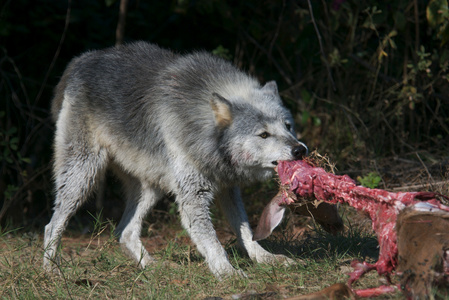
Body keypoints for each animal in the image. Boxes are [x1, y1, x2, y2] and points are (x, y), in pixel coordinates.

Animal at [43, 41, 308, 278]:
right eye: (263, 134)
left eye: (288, 126)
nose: (300, 150)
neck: (201, 129)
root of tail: (82, 60)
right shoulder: (193, 197)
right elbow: (213, 242)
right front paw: (227, 273)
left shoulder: (228, 188)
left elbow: (245, 231)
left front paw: (265, 259)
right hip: (83, 177)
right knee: (52, 225)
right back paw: (52, 271)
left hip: (150, 189)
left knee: (123, 232)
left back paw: (154, 267)